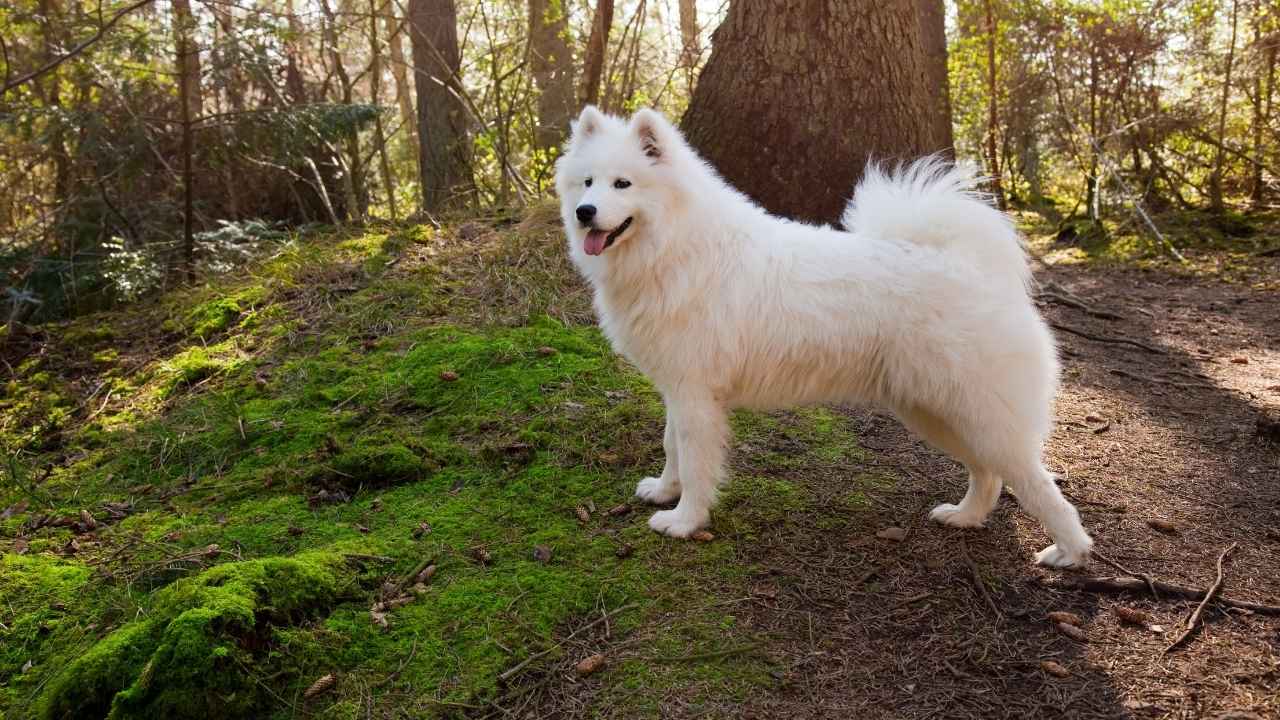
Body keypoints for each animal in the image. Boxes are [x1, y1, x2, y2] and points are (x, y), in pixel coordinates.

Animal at [555, 106, 1095, 566]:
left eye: (623, 183)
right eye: (587, 182)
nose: (585, 211)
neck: (676, 246)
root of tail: (971, 266)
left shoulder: (695, 396)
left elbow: (694, 463)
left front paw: (684, 520)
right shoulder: (678, 390)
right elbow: (671, 448)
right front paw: (664, 492)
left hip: (977, 412)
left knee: (1036, 482)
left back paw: (1069, 552)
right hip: (936, 411)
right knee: (988, 474)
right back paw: (965, 516)